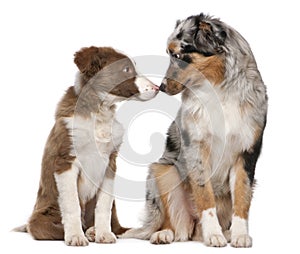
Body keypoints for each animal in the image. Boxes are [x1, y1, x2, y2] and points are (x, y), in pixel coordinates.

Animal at [15, 46, 159, 246]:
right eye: (126, 69)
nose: (158, 88)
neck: (99, 111)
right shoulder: (65, 162)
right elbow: (72, 204)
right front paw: (75, 236)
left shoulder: (110, 163)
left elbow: (104, 205)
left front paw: (104, 234)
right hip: (39, 218)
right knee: (46, 228)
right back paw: (84, 233)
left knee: (116, 225)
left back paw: (94, 231)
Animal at [120, 12, 268, 247]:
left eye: (179, 55)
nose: (161, 87)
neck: (219, 90)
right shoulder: (197, 149)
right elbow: (204, 195)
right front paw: (213, 235)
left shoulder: (247, 153)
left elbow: (242, 197)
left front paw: (240, 235)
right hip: (162, 171)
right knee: (172, 223)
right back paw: (165, 234)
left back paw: (225, 233)